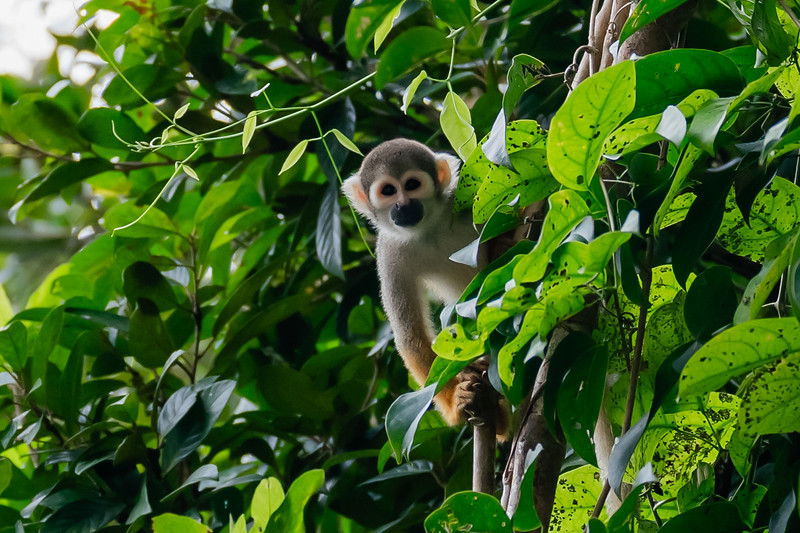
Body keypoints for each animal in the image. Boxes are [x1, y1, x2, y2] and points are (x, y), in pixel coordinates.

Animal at [342, 138, 508, 437]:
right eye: (388, 191)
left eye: (412, 185)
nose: (403, 205)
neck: (428, 229)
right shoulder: (389, 254)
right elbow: (411, 336)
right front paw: (455, 405)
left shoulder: (465, 202)